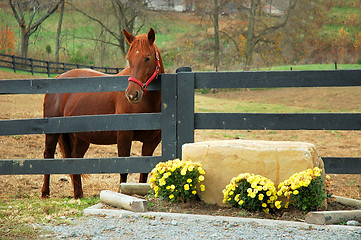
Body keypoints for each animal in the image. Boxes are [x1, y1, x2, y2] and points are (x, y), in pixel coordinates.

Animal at [42, 28, 165, 199]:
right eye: (129, 59)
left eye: (147, 58)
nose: (132, 94)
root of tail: (59, 77)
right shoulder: (124, 136)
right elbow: (123, 169)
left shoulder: (151, 142)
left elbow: (144, 172)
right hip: (53, 133)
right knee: (48, 155)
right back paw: (45, 193)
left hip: (80, 138)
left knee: (75, 158)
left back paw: (78, 194)